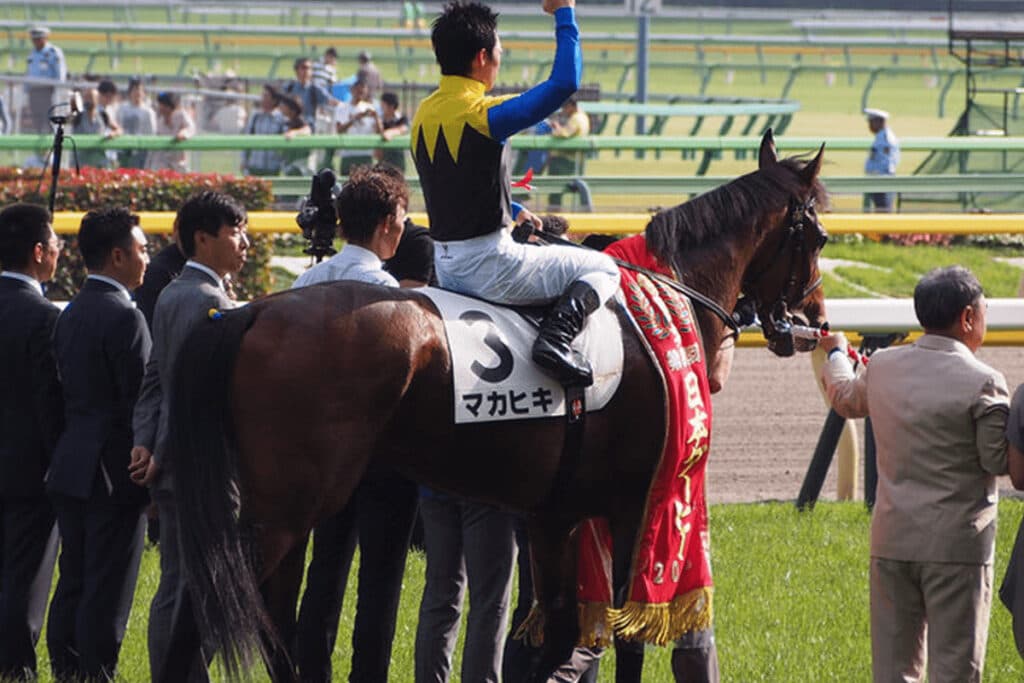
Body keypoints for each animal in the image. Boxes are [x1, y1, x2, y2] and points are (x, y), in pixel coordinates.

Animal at [163, 130, 829, 682]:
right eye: (818, 236)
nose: (816, 319)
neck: (660, 306)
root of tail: (252, 312)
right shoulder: (635, 504)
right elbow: (626, 639)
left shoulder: (554, 515)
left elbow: (556, 634)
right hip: (288, 505)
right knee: (210, 610)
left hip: (284, 505)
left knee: (268, 617)